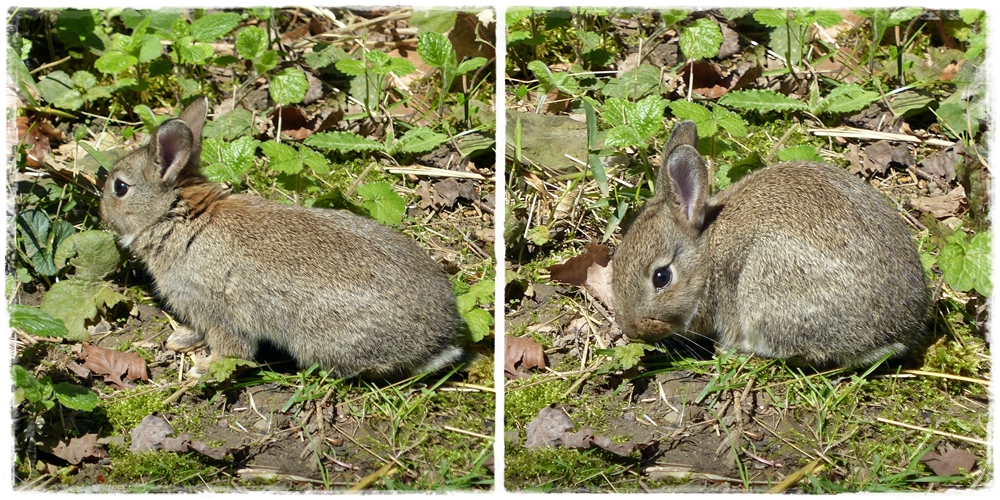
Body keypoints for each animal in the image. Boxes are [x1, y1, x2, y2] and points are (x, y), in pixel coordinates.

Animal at [99, 98, 466, 378]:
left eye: (120, 187)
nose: (102, 213)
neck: (179, 216)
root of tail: (439, 333)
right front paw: (181, 340)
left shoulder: (217, 309)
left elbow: (234, 349)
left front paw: (204, 367)